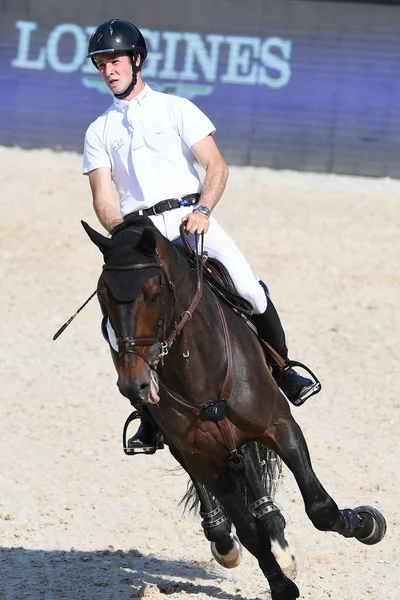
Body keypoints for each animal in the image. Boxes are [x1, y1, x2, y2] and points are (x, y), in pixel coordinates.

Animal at [80, 216, 384, 600]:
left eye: (153, 294)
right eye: (103, 296)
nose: (135, 385)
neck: (197, 368)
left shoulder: (280, 426)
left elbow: (321, 509)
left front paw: (366, 523)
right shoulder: (203, 455)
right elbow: (248, 530)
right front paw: (281, 585)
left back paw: (277, 529)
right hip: (190, 446)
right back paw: (226, 538)